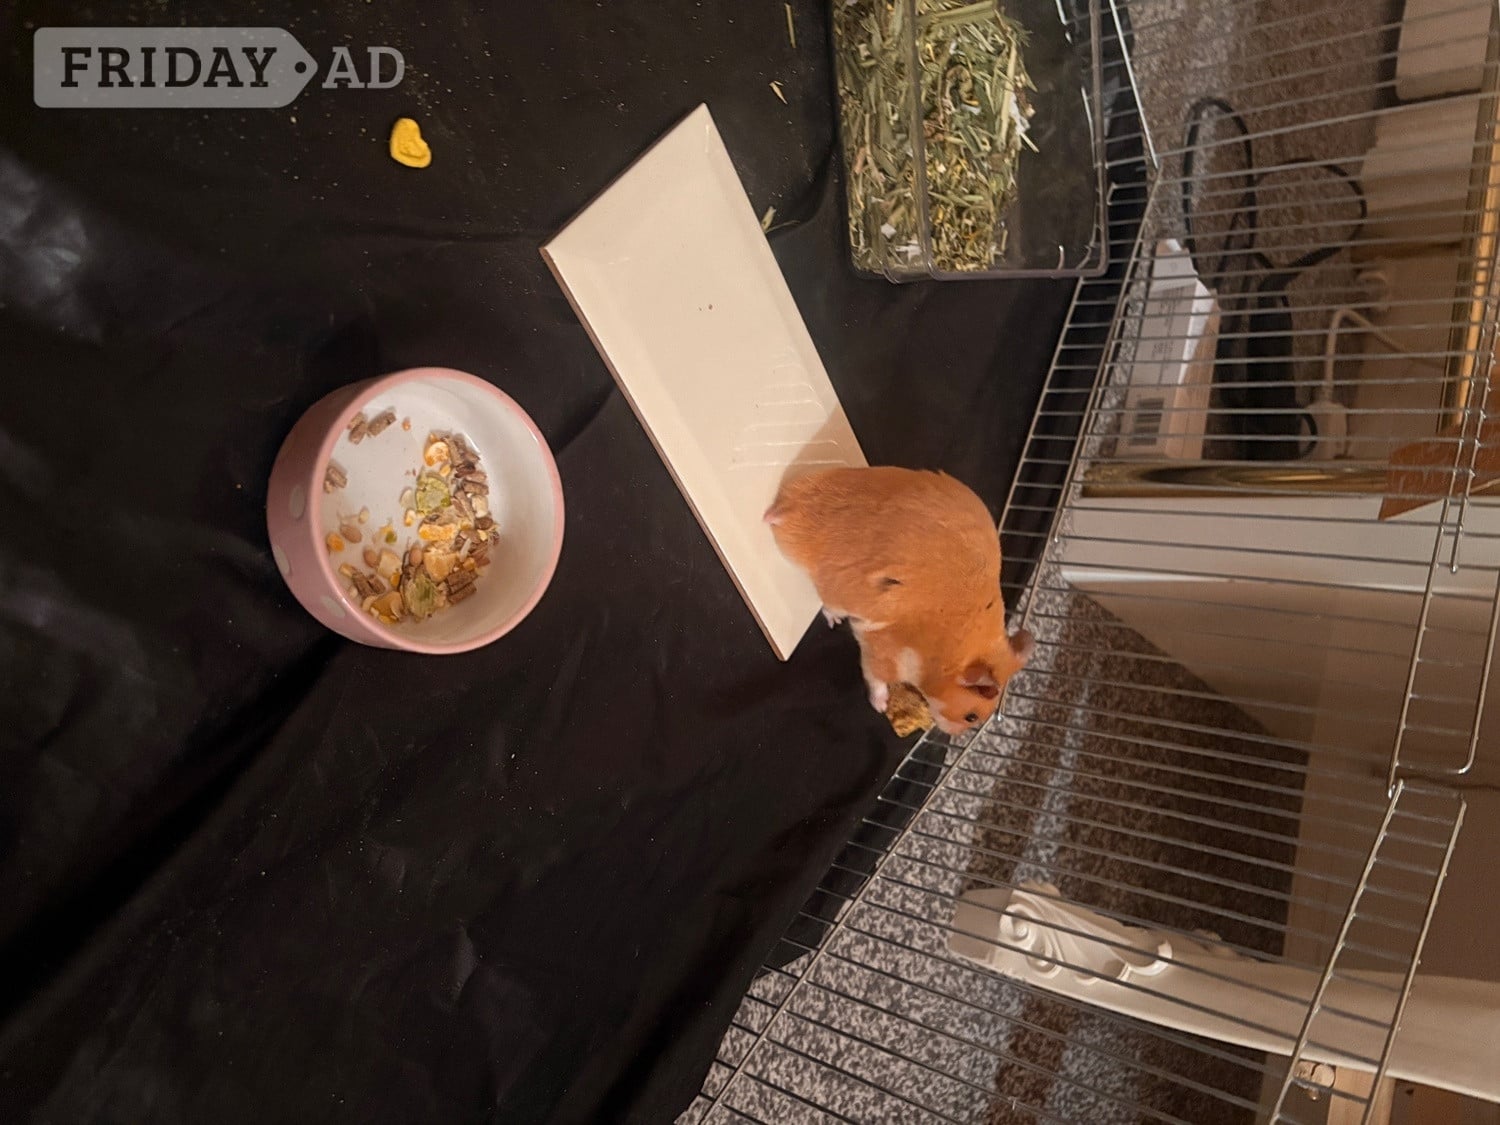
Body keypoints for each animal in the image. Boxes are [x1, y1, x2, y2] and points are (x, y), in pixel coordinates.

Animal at [765, 466, 1033, 735]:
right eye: (971, 716)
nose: (953, 735)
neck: (946, 657)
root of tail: (790, 504)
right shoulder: (885, 655)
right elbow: (876, 679)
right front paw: (880, 706)